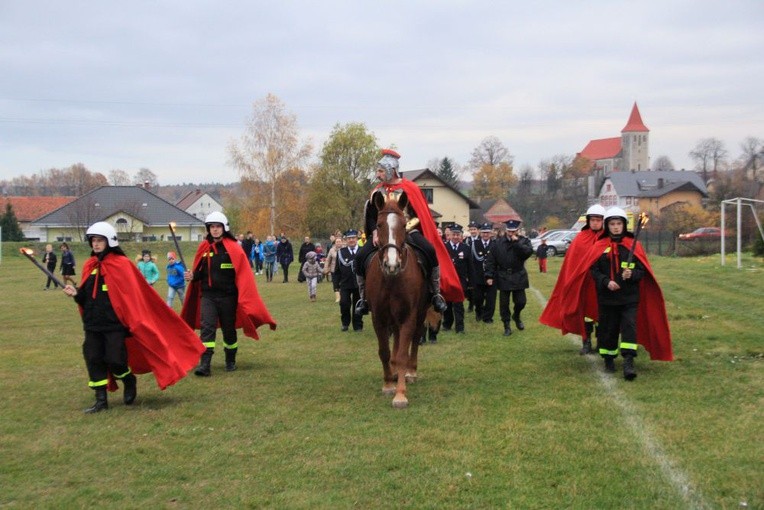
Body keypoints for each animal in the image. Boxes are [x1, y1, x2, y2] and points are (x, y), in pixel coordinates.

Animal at [364, 189, 430, 408]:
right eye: (378, 225)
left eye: (403, 225)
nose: (391, 264)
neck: (392, 278)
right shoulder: (378, 316)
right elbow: (384, 350)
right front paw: (388, 384)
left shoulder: (409, 315)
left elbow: (402, 353)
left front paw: (400, 394)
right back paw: (393, 373)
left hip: (420, 312)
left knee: (415, 339)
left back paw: (410, 372)